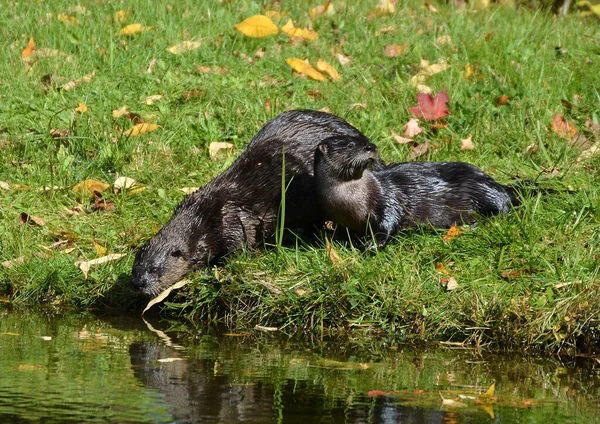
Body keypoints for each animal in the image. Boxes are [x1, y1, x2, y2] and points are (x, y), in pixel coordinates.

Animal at [134, 109, 382, 294]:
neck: (203, 218)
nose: (139, 283)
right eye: (136, 266)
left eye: (155, 269)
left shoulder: (233, 220)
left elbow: (240, 247)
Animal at [314, 136, 520, 247]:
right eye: (350, 145)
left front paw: (373, 243)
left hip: (480, 189)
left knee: (503, 207)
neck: (349, 204)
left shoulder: (388, 199)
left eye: (366, 140)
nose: (370, 146)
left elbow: (389, 221)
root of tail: (497, 183)